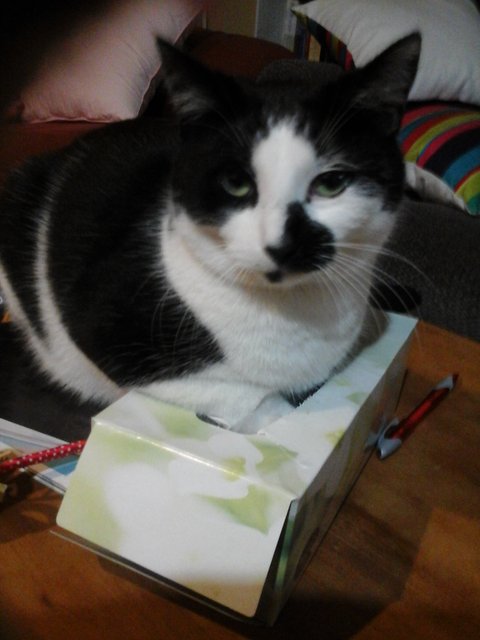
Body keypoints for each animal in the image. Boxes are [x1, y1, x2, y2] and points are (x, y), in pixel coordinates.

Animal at [0, 34, 420, 433]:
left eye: (331, 184)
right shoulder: (105, 322)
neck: (289, 313)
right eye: (236, 184)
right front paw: (271, 413)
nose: (280, 245)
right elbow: (243, 396)